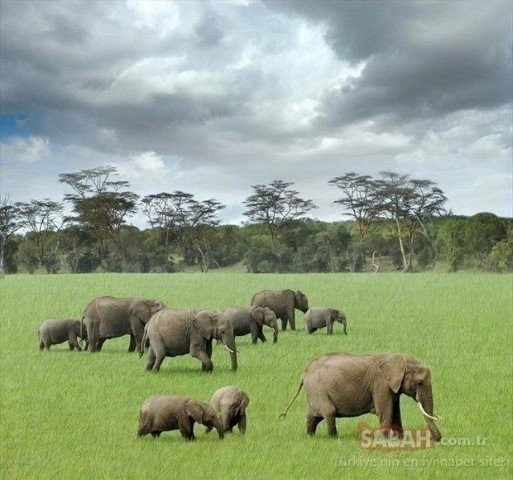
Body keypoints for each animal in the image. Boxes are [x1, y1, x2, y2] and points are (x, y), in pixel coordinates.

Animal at [278, 350, 442, 440]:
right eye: (419, 382)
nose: (438, 440)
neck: (401, 359)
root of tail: (304, 373)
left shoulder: (391, 387)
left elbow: (396, 412)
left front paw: (399, 440)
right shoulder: (381, 384)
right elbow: (386, 411)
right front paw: (386, 441)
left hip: (315, 391)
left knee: (314, 416)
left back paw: (310, 436)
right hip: (318, 389)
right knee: (329, 412)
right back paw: (333, 438)